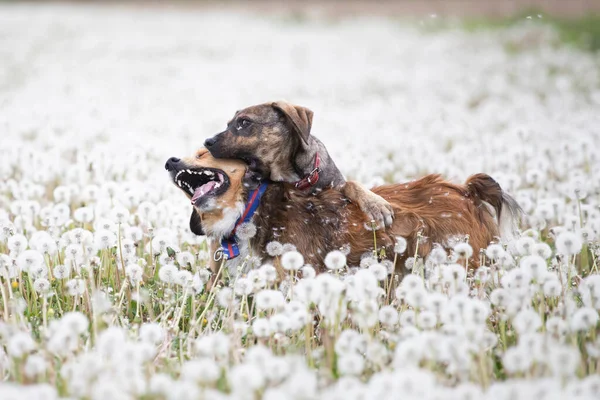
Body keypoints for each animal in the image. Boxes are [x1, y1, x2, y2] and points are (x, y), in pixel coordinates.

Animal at [204, 101, 396, 228]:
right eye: (228, 124)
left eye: (244, 122)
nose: (207, 142)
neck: (296, 178)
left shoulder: (336, 185)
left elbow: (353, 184)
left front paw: (375, 205)